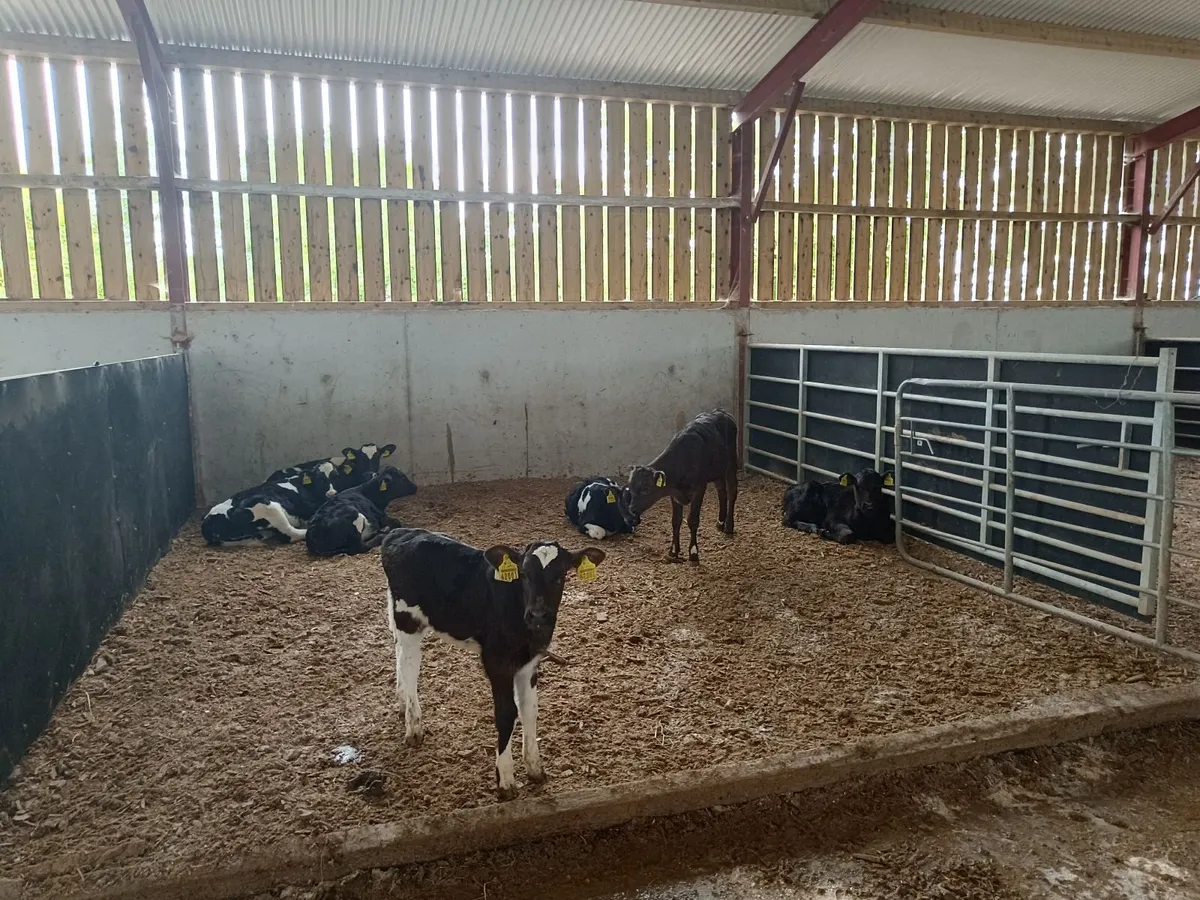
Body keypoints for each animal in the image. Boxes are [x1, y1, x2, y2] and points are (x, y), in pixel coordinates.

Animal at [201, 467, 336, 546]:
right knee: (290, 534)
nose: (332, 493)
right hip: (266, 506)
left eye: (336, 477)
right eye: (320, 480)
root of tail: (208, 521)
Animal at [381, 529, 604, 800]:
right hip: (408, 618)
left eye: (560, 576)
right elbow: (506, 713)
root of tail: (400, 532)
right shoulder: (497, 662)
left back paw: (402, 702)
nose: (538, 614)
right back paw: (413, 726)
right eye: (524, 574)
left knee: (398, 651)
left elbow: (529, 709)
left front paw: (535, 768)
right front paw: (506, 780)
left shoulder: (530, 663)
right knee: (410, 665)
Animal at [624, 409, 738, 564]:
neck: (682, 461)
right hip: (717, 470)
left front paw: (693, 552)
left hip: (732, 461)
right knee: (721, 491)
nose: (631, 510)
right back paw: (720, 522)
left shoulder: (699, 488)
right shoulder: (674, 493)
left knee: (732, 491)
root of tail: (720, 411)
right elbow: (676, 521)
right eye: (630, 488)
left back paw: (728, 526)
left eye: (646, 489)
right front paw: (673, 551)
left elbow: (693, 520)